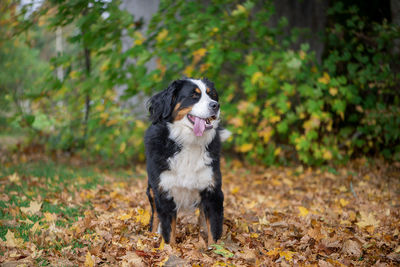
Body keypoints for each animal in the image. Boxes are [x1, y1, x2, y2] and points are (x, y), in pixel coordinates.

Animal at [145, 77, 230, 247]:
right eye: (194, 96)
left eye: (212, 95)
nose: (215, 105)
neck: (189, 143)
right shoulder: (164, 191)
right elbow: (168, 231)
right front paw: (169, 249)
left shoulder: (212, 191)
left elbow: (214, 229)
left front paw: (215, 250)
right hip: (151, 189)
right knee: (155, 214)